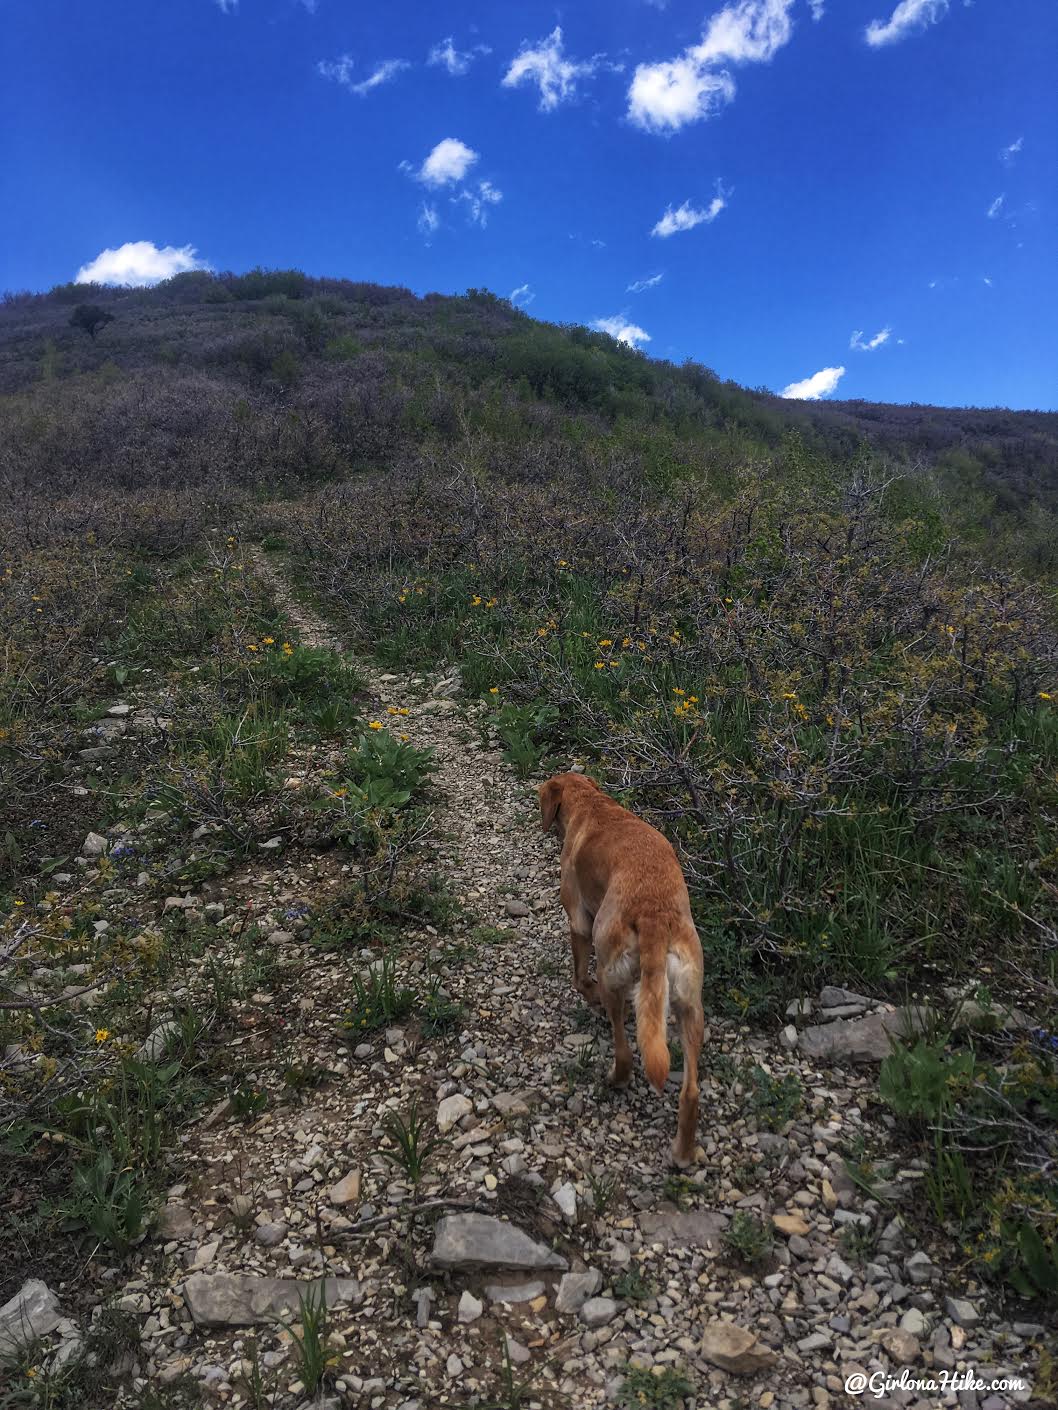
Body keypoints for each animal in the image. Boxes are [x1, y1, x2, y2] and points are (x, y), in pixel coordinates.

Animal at [541, 778, 708, 1161]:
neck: (592, 803)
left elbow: (579, 978)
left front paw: (588, 996)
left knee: (625, 1053)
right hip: (690, 1005)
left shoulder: (579, 922)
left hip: (611, 973)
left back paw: (615, 1077)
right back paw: (683, 1152)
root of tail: (654, 914)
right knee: (691, 1092)